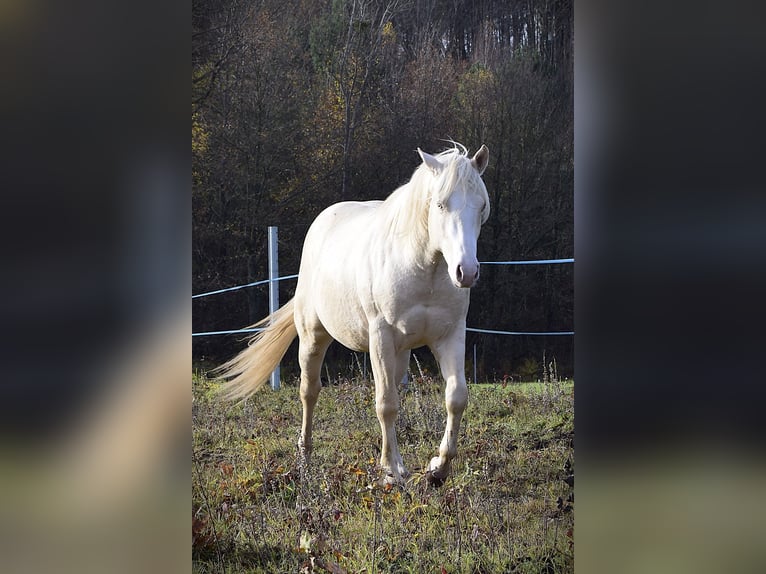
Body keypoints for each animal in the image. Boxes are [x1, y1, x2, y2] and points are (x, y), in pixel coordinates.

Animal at [216, 142, 490, 485]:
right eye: (440, 205)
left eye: (481, 207)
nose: (466, 272)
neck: (423, 268)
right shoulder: (381, 337)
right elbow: (386, 403)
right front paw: (391, 471)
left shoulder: (450, 335)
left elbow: (456, 397)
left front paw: (437, 469)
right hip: (313, 338)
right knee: (309, 392)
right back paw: (305, 458)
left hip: (399, 352)